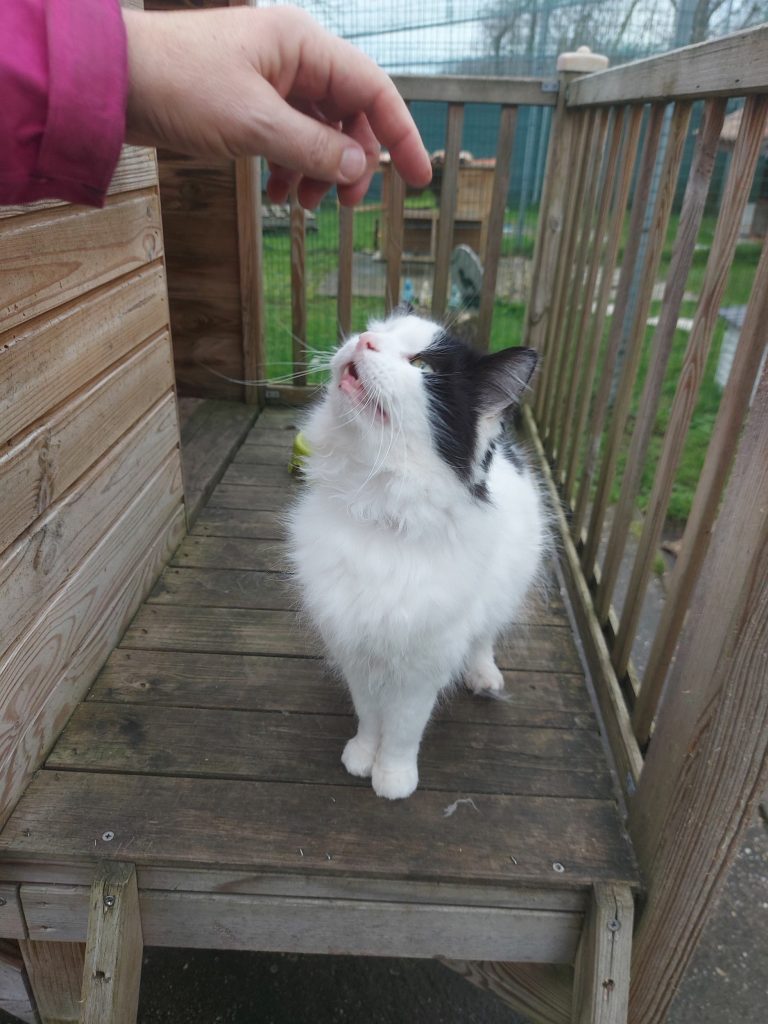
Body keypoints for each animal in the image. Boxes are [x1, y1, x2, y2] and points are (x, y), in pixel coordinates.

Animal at [287, 310, 547, 800]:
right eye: (377, 331)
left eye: (423, 366)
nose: (364, 341)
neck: (375, 507)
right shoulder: (356, 649)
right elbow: (370, 715)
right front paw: (361, 758)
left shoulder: (424, 664)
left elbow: (404, 728)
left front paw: (393, 779)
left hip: (504, 591)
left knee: (484, 637)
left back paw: (484, 677)